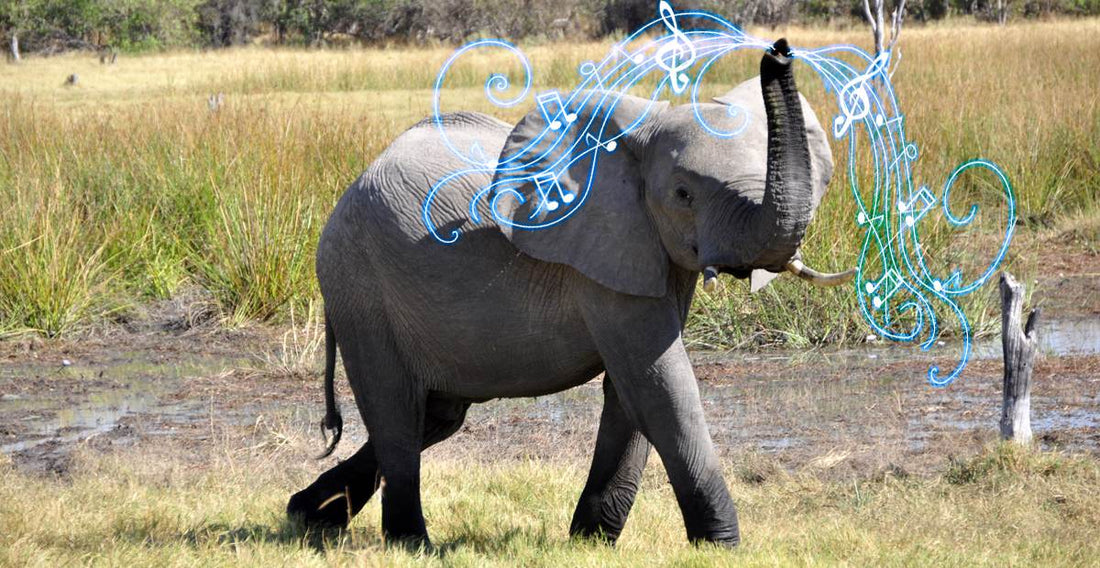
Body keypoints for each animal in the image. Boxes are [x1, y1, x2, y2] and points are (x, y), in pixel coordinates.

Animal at [287, 40, 852, 548]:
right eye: (683, 194)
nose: (778, 51)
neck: (638, 138)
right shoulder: (600, 255)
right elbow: (660, 387)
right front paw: (721, 546)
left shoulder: (652, 253)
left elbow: (632, 391)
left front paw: (592, 541)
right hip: (359, 286)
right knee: (397, 412)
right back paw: (410, 542)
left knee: (437, 413)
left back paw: (308, 515)